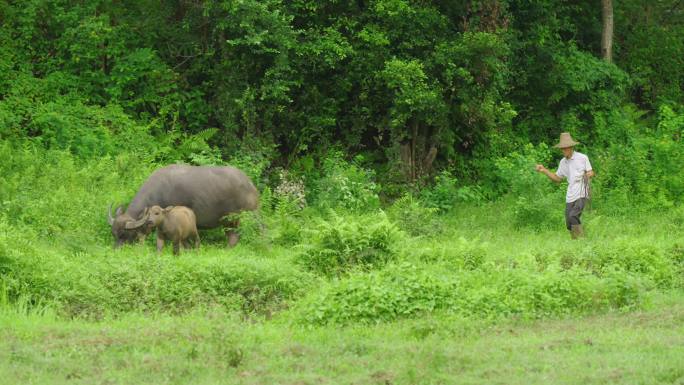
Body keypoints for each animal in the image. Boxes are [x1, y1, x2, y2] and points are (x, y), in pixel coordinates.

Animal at [108, 164, 260, 248]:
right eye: (114, 234)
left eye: (124, 234)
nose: (116, 250)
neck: (161, 191)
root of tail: (249, 184)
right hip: (228, 221)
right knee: (233, 236)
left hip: (249, 216)